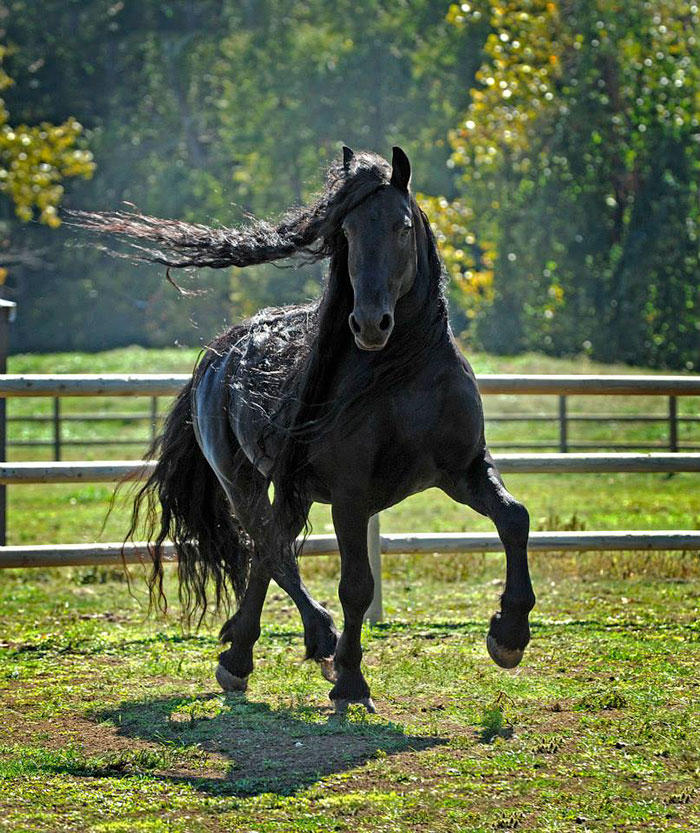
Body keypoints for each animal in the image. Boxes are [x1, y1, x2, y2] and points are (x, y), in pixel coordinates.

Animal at [73, 146, 536, 712]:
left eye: (402, 226)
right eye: (347, 232)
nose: (370, 324)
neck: (403, 376)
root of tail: (221, 353)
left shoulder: (464, 470)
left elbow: (514, 518)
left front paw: (508, 636)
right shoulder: (351, 496)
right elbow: (356, 585)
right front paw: (352, 683)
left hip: (292, 490)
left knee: (267, 553)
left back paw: (246, 653)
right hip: (242, 481)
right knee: (271, 551)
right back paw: (303, 644)